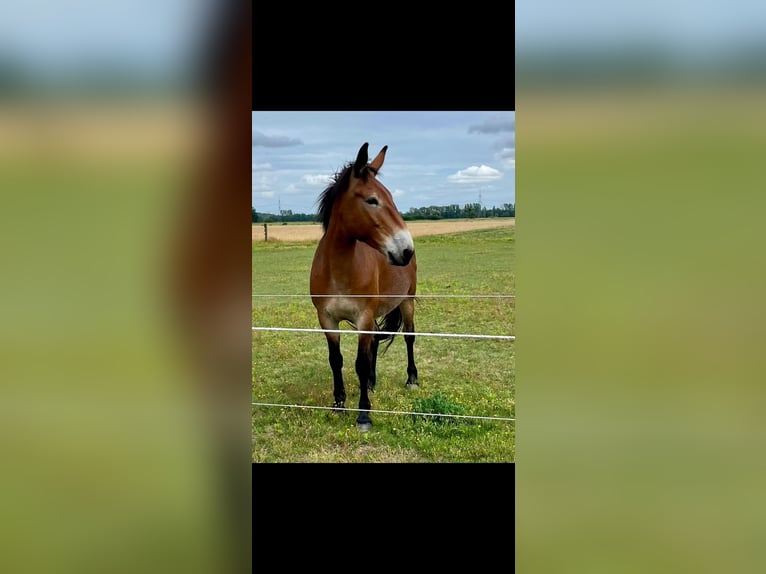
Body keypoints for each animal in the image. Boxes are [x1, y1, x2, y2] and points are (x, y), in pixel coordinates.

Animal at [310, 142, 418, 432]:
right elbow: (336, 360)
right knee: (375, 343)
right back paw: (370, 382)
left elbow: (359, 362)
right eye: (372, 200)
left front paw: (364, 414)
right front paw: (339, 404)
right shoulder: (327, 319)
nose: (406, 250)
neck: (339, 271)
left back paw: (411, 379)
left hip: (407, 301)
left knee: (409, 337)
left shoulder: (363, 317)